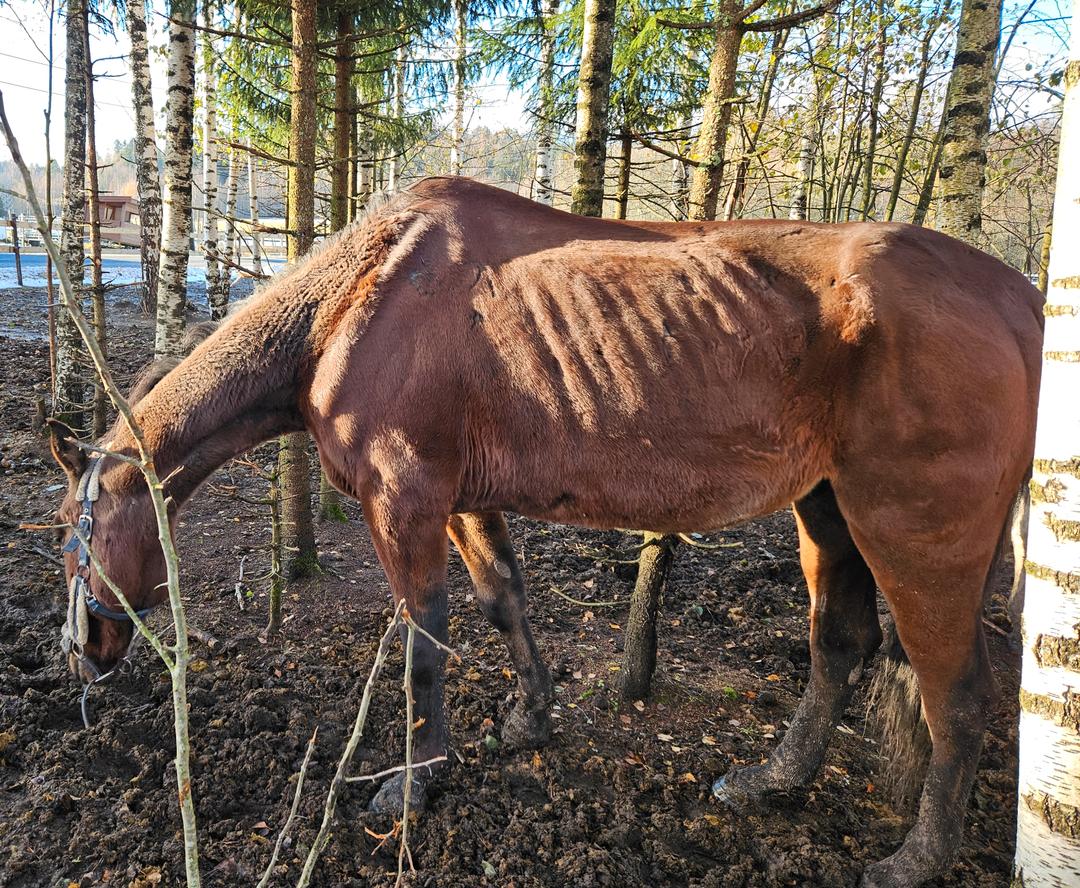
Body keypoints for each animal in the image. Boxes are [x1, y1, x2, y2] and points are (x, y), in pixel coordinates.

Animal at [46, 177, 1041, 885]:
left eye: (71, 530)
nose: (83, 648)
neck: (357, 302)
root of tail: (1022, 302)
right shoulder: (459, 501)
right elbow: (503, 603)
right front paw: (531, 718)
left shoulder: (404, 502)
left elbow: (423, 644)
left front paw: (416, 781)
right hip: (828, 512)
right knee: (839, 644)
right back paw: (774, 780)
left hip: (916, 533)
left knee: (959, 695)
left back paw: (914, 861)